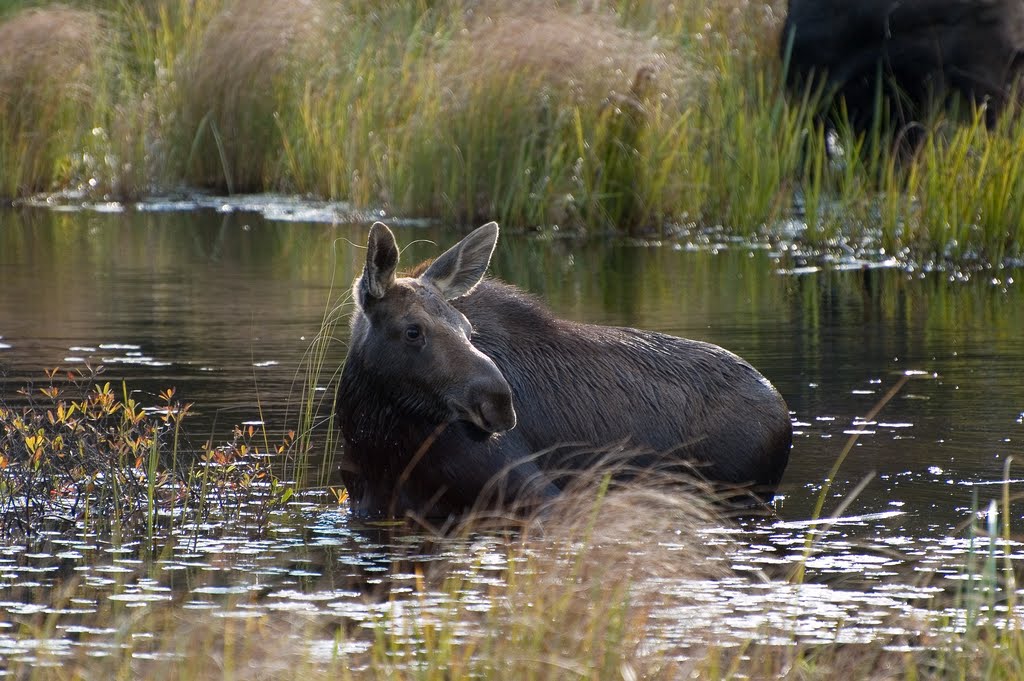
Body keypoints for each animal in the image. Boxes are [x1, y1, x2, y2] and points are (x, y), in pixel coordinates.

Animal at [335, 222, 790, 516]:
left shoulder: (538, 493)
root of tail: (781, 410)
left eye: (468, 329)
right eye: (413, 330)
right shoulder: (367, 506)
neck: (381, 441)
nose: (499, 402)